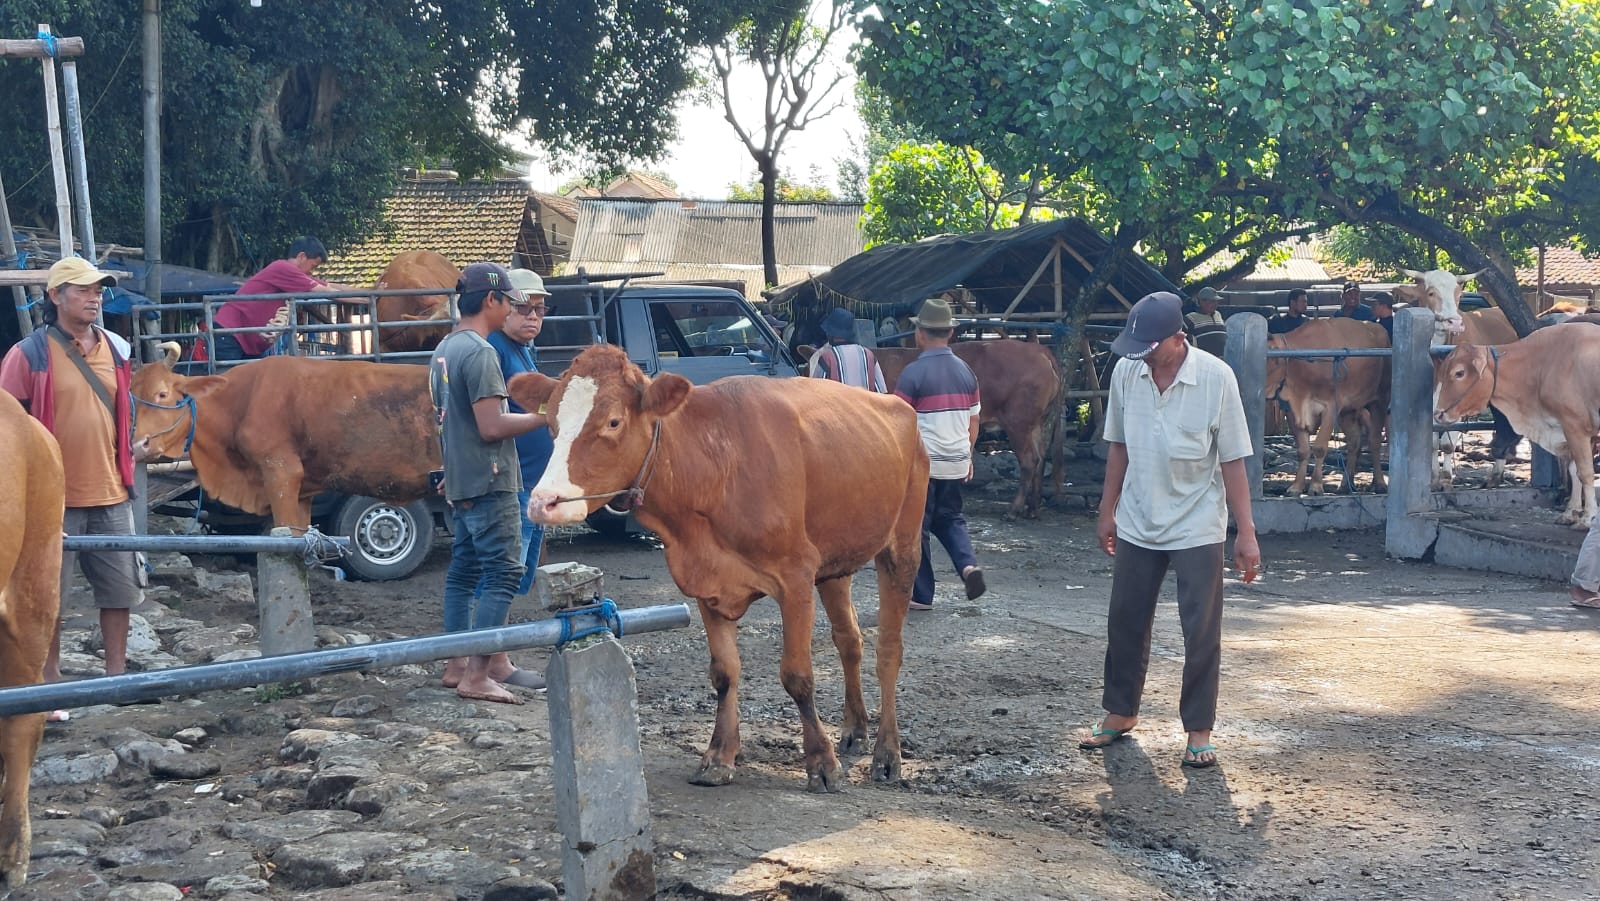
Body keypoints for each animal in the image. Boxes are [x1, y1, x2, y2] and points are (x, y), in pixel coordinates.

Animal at [518, 344, 934, 790]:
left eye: (613, 421)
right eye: (551, 422)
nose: (542, 501)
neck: (714, 466)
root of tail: (895, 402)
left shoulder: (796, 575)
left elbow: (798, 675)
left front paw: (821, 762)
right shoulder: (706, 581)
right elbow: (724, 672)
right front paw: (719, 755)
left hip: (902, 544)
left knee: (888, 649)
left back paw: (887, 753)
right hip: (835, 562)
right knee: (849, 640)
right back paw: (855, 728)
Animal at [876, 342, 1062, 518]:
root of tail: (1039, 349)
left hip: (1018, 423)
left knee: (1030, 460)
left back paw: (1013, 511)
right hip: (1035, 423)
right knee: (1041, 456)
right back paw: (1032, 509)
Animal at [1433, 328, 1600, 528]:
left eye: (1459, 373)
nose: (1439, 414)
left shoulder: (1575, 427)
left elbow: (1585, 472)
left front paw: (1588, 518)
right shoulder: (1574, 431)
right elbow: (1574, 471)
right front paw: (1571, 513)